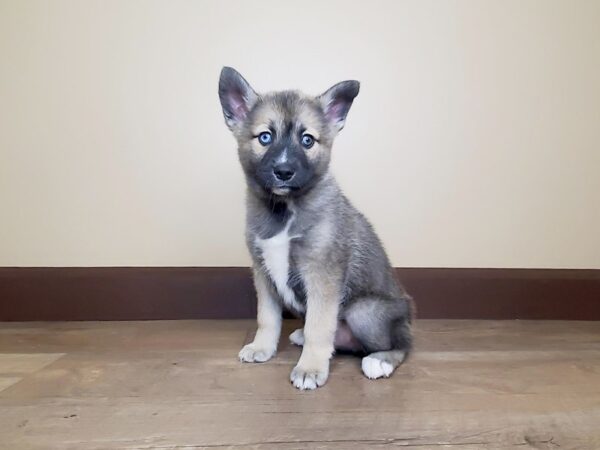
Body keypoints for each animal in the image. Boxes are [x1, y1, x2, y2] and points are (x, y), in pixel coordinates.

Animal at [219, 67, 412, 390]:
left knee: (403, 344)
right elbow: (267, 318)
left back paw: (380, 361)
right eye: (265, 137)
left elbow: (319, 327)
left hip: (365, 311)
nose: (284, 172)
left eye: (307, 140)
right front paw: (262, 347)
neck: (285, 210)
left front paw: (310, 368)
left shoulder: (323, 274)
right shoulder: (263, 271)